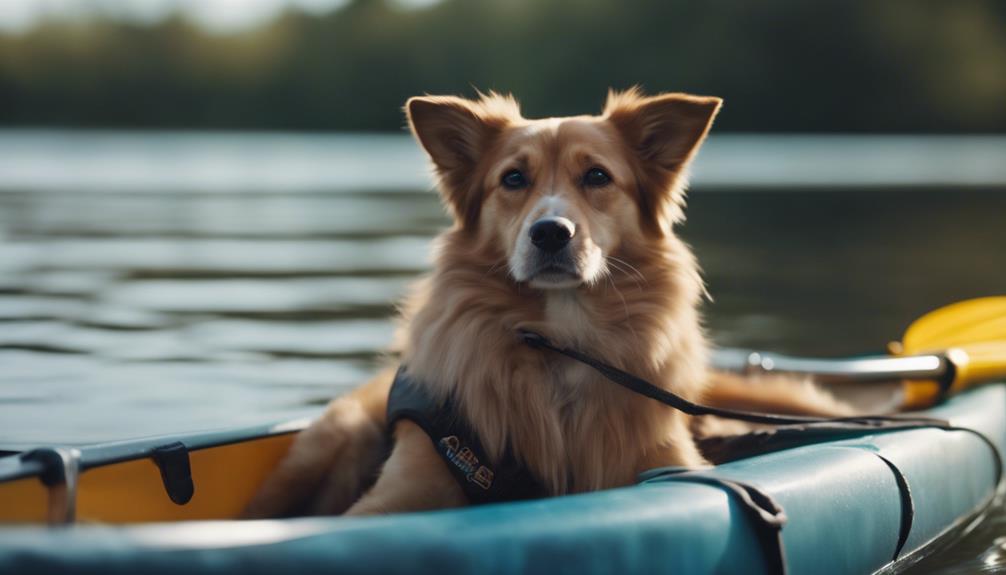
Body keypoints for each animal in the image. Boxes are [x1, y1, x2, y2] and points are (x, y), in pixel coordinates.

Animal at [241, 88, 849, 514]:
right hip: (326, 441)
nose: (551, 233)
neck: (560, 342)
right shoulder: (395, 495)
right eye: (513, 179)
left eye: (597, 176)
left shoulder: (666, 459)